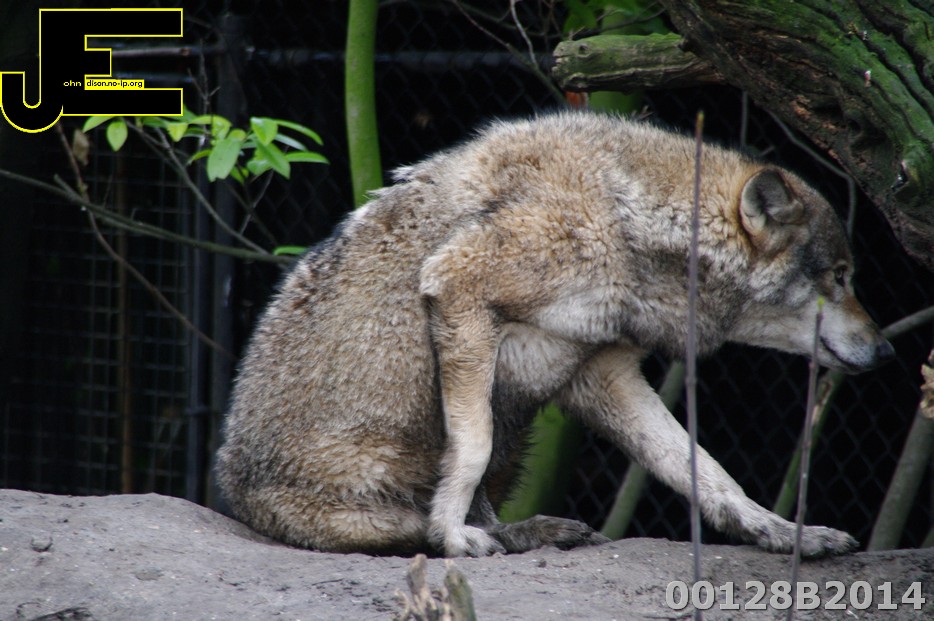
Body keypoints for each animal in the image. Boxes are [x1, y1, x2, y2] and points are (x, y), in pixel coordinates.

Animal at [215, 111, 894, 558]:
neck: (625, 214)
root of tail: (233, 490)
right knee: (417, 522)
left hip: (518, 427)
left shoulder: (605, 372)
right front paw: (452, 536)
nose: (888, 349)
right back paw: (506, 535)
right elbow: (470, 450)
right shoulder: (459, 284)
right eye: (840, 276)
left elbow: (709, 472)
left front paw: (784, 534)